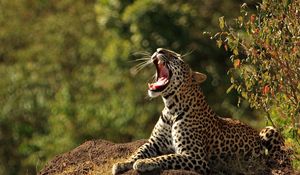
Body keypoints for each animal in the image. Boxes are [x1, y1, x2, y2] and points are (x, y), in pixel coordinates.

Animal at [111, 48, 290, 175]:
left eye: (177, 57)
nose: (158, 50)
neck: (171, 108)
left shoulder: (195, 157)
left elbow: (166, 157)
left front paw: (145, 163)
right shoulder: (154, 142)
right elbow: (138, 151)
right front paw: (122, 163)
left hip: (269, 130)